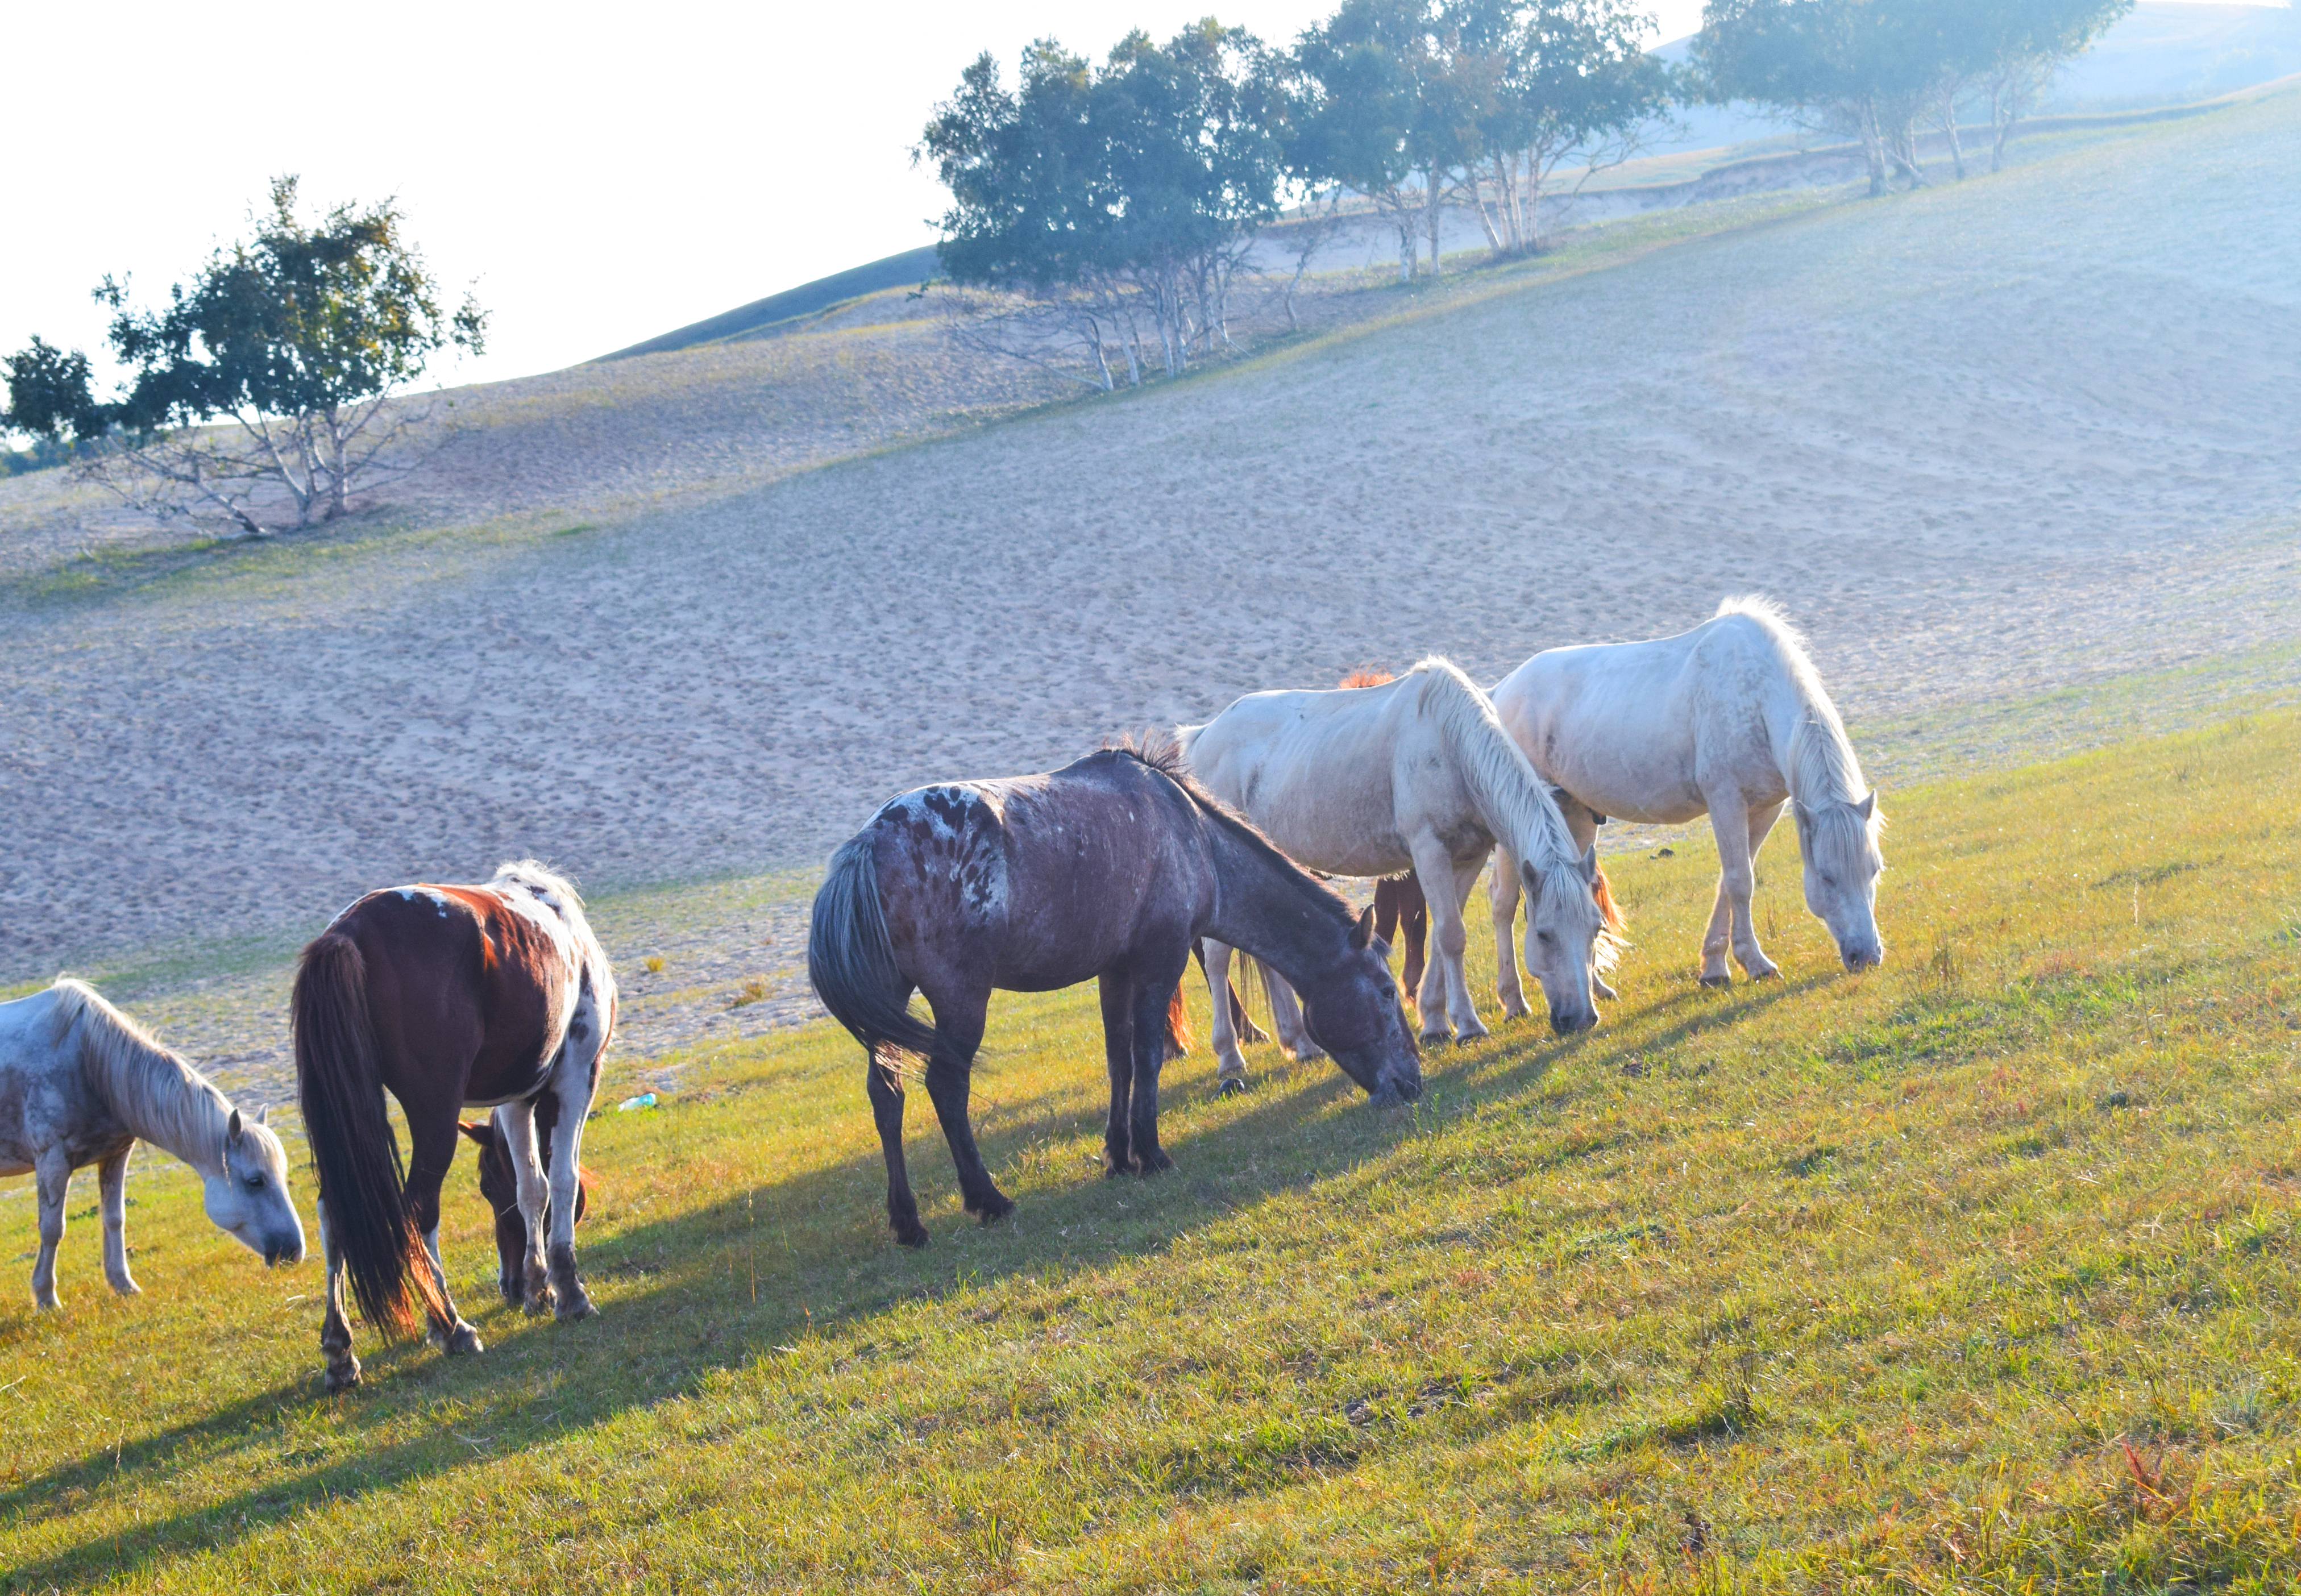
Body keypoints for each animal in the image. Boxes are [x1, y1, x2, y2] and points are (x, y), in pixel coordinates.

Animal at [0, 978, 303, 1309]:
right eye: (255, 1181)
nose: (294, 1251)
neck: (86, 1062)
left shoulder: (116, 1154)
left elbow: (114, 1219)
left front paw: (123, 1284)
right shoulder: (52, 1161)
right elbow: (52, 1229)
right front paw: (46, 1298)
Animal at [807, 746, 1420, 1248]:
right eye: (1386, 992)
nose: (1412, 1083)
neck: (1190, 835)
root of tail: (870, 844)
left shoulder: (1116, 971)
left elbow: (1118, 1059)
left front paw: (1119, 1154)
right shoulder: (1159, 961)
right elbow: (1147, 1057)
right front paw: (1150, 1152)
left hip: (892, 1006)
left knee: (886, 1095)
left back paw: (908, 1221)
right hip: (962, 1000)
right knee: (945, 1086)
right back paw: (988, 1199)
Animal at [1181, 657, 1614, 1083]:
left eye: (1595, 930)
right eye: (1543, 935)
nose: (1581, 1018)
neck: (1448, 741)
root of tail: (1202, 735)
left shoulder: (1468, 858)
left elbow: (1443, 935)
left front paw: (1436, 1023)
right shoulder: (1428, 850)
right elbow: (1452, 936)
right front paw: (1468, 1026)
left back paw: (1301, 1045)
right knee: (1217, 960)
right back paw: (1230, 1059)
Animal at [1488, 596, 1885, 991]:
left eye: (1874, 870)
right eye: (1827, 876)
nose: (1866, 956)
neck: (1754, 694)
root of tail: (1501, 691)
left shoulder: (1765, 810)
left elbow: (1731, 879)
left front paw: (1715, 966)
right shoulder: (1726, 802)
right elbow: (1740, 881)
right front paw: (1754, 963)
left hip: (1575, 816)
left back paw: (1595, 986)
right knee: (1503, 902)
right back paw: (1513, 996)